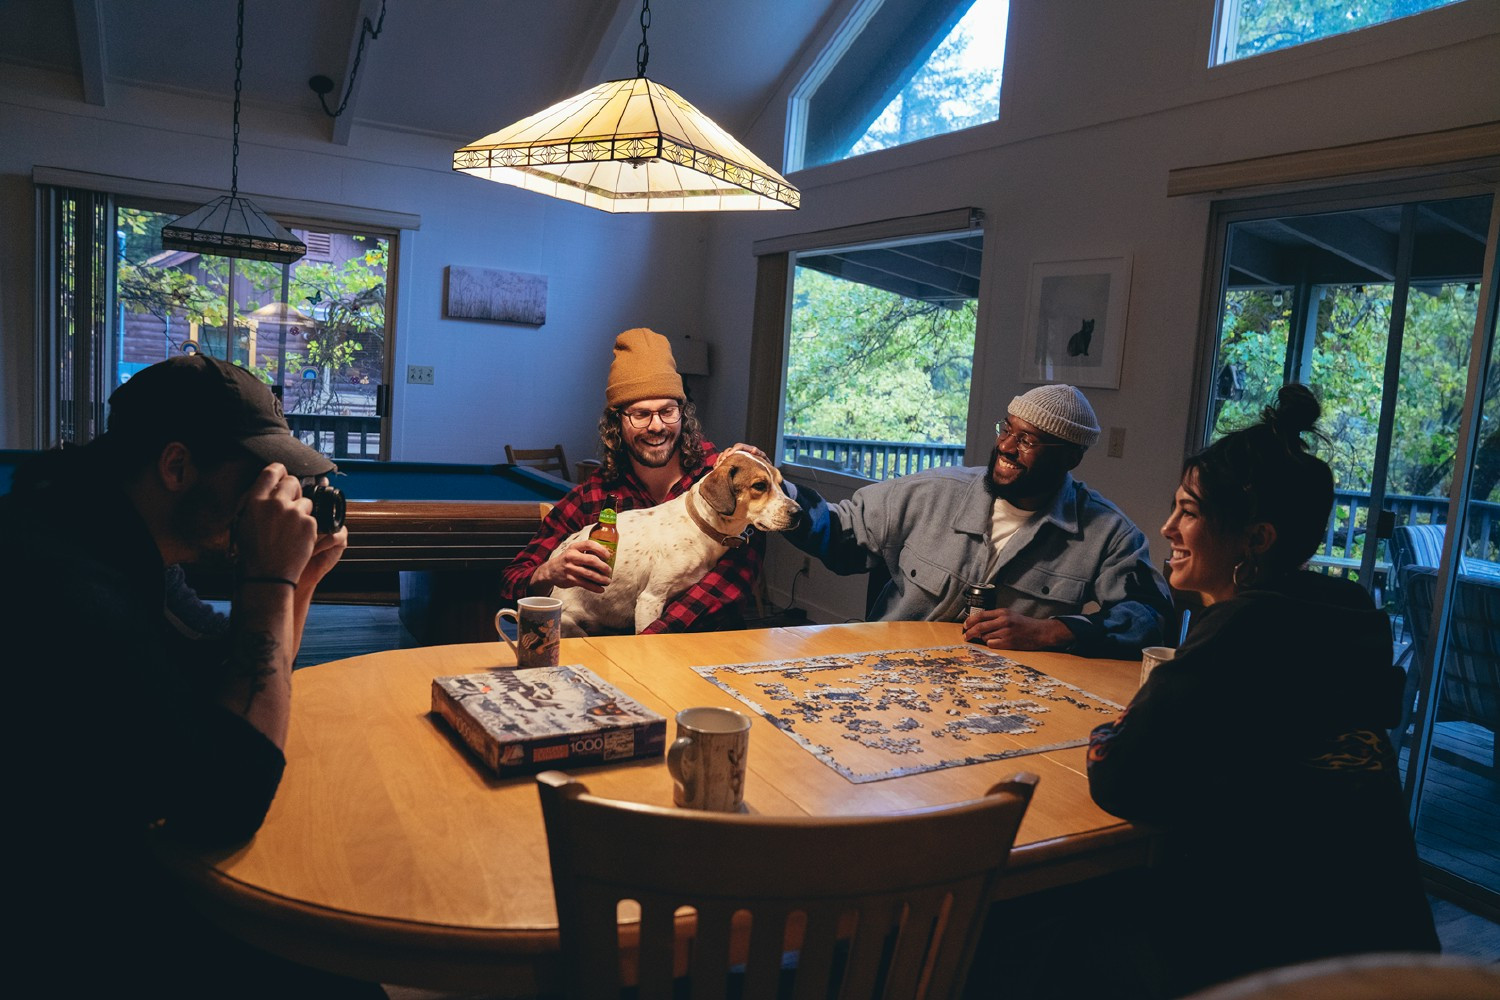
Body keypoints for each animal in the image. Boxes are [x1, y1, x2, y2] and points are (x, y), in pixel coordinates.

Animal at [546, 449, 804, 638]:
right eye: (760, 486)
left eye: (781, 483)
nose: (799, 512)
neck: (700, 526)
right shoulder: (650, 599)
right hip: (569, 622)